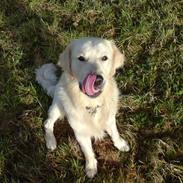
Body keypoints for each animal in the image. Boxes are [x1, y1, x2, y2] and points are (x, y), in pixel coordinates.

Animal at [35, 36, 129, 178]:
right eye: (81, 58)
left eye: (104, 58)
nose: (97, 80)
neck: (91, 103)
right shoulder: (80, 133)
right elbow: (88, 151)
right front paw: (91, 167)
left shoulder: (110, 119)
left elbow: (115, 133)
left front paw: (120, 144)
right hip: (58, 107)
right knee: (47, 123)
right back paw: (51, 141)